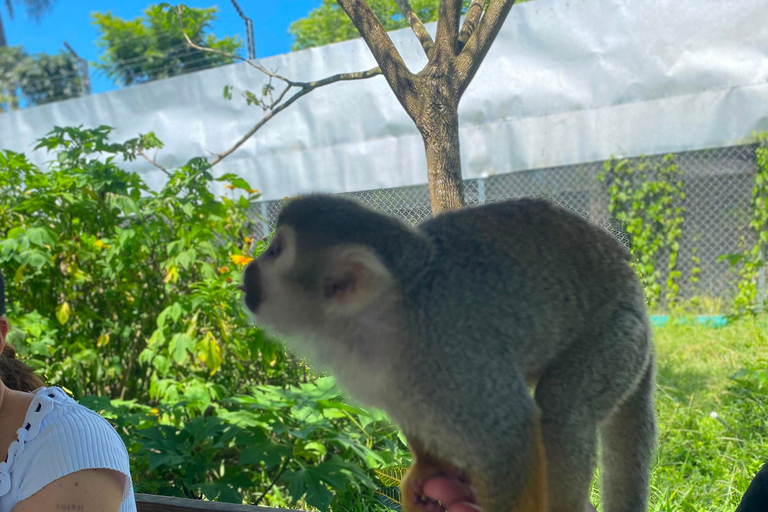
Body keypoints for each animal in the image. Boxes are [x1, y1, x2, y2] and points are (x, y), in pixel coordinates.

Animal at [240, 194, 656, 512]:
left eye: (275, 251)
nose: (248, 271)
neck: (383, 322)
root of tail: (634, 290)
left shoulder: (448, 354)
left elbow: (510, 436)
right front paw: (428, 469)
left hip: (618, 335)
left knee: (563, 406)